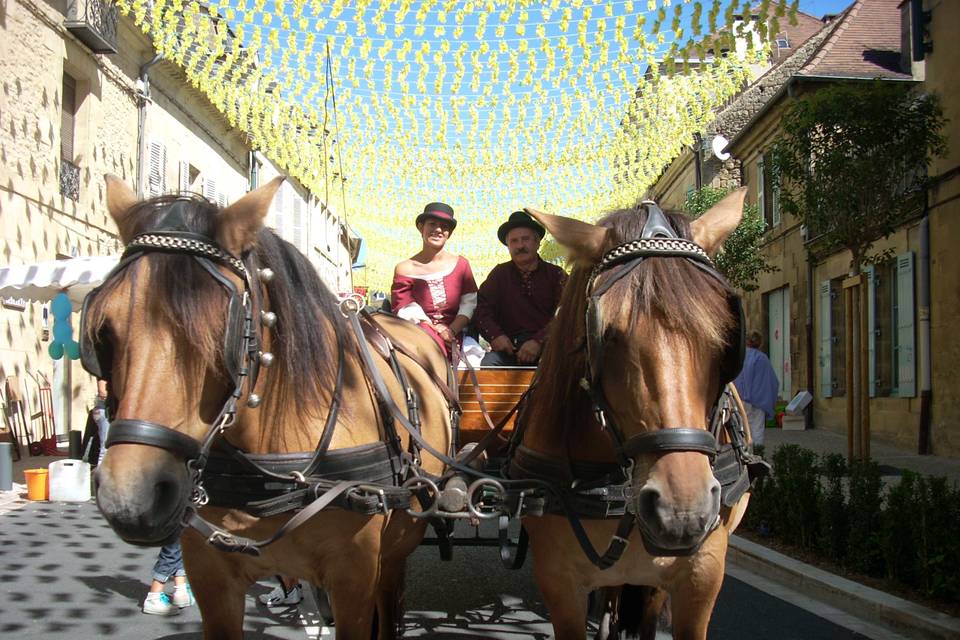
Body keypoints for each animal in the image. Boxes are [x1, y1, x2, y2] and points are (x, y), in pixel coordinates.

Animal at [87, 175, 454, 640]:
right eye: (104, 330)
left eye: (221, 331)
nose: (131, 498)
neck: (280, 468)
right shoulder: (211, 576)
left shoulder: (353, 577)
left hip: (397, 545)